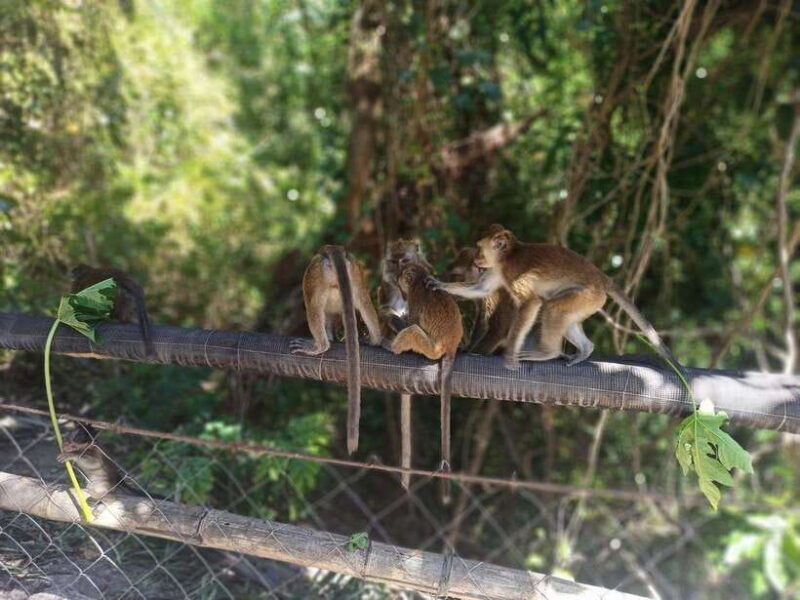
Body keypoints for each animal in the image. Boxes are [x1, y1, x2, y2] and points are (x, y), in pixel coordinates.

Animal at [290, 245, 382, 455]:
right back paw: (376, 339)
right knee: (363, 301)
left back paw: (320, 346)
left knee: (313, 305)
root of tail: (335, 249)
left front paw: (327, 339)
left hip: (317, 273)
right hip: (355, 273)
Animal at [387, 263, 463, 503]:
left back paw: (390, 346)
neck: (420, 281)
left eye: (402, 276)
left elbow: (410, 322)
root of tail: (452, 345)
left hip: (431, 348)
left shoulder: (415, 298)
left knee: (412, 331)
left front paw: (392, 316)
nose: (396, 278)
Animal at [427, 225, 680, 372]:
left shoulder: (513, 272)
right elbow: (481, 289)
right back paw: (586, 350)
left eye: (480, 248)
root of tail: (601, 277)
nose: (478, 259)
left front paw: (510, 355)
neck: (507, 256)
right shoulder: (497, 270)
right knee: (563, 315)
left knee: (553, 308)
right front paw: (440, 285)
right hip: (591, 301)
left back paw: (547, 353)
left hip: (589, 295)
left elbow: (531, 302)